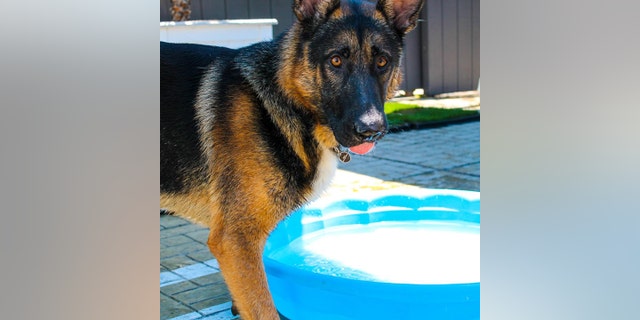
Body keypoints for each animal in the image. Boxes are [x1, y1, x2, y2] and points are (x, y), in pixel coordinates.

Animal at [160, 0, 422, 318]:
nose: (372, 130)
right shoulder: (236, 241)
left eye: (382, 62)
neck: (285, 100)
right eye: (335, 61)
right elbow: (262, 307)